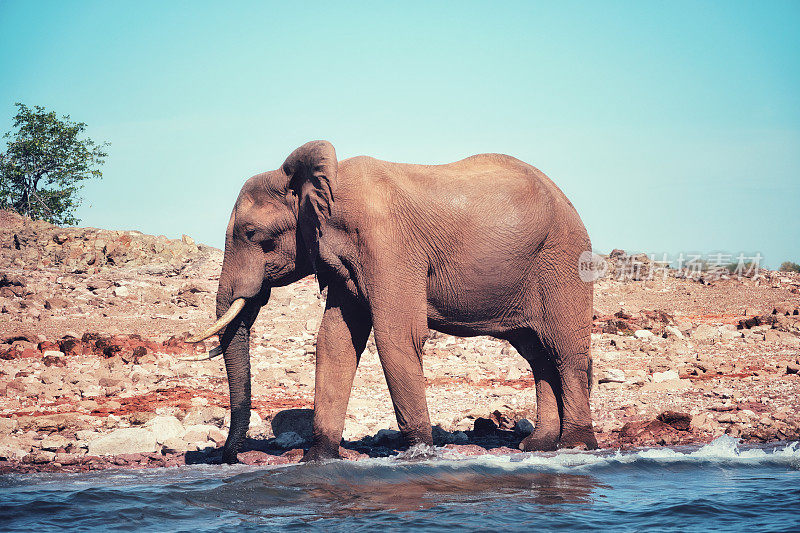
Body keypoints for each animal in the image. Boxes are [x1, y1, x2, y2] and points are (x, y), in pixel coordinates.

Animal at [188, 141, 596, 462]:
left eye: (252, 234)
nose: (230, 457)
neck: (324, 181)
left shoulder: (388, 243)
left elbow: (396, 336)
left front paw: (419, 454)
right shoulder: (346, 261)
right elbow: (335, 341)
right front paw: (318, 458)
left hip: (563, 259)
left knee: (564, 350)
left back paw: (576, 446)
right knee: (537, 353)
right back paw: (538, 447)